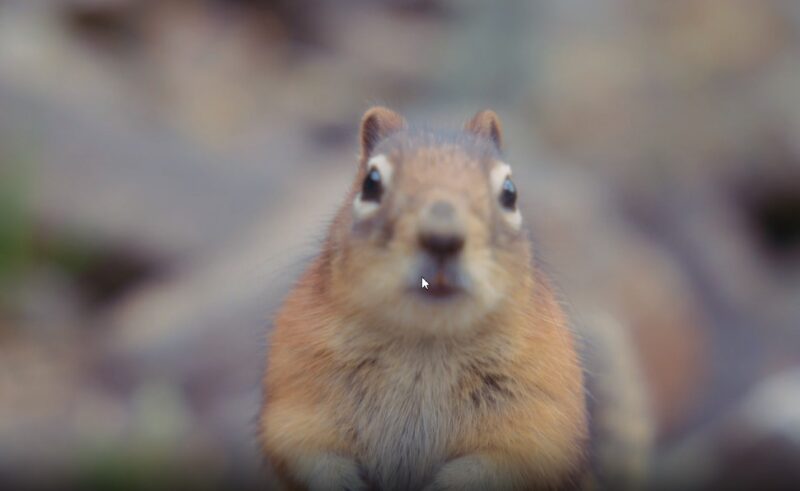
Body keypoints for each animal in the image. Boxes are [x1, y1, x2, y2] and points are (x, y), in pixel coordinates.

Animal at [260, 108, 592, 491]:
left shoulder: (540, 421)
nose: (442, 238)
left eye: (510, 192)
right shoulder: (296, 399)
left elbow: (505, 463)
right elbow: (304, 449)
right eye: (371, 183)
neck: (425, 341)